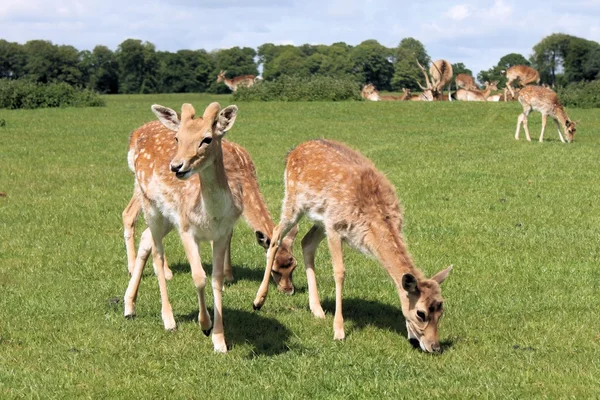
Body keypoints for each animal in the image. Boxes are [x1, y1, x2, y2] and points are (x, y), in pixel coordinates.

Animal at [122, 101, 246, 352]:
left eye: (207, 138)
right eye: (178, 137)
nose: (177, 166)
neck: (211, 215)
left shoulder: (222, 233)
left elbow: (217, 279)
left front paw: (220, 341)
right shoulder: (186, 228)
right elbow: (198, 276)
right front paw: (204, 324)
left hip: (167, 218)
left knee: (146, 239)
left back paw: (129, 306)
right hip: (150, 206)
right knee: (157, 253)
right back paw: (168, 319)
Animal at [122, 134, 298, 294]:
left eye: (294, 266)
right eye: (274, 270)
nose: (289, 291)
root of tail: (134, 137)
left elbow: (228, 236)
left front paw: (229, 275)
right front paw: (223, 280)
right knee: (131, 215)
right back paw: (143, 270)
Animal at [251, 140, 452, 354]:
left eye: (441, 310)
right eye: (421, 313)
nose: (435, 347)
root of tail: (292, 152)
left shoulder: (330, 224)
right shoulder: (334, 227)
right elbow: (339, 272)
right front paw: (339, 331)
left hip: (320, 219)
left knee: (306, 242)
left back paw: (317, 309)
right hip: (293, 201)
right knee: (275, 236)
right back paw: (258, 300)